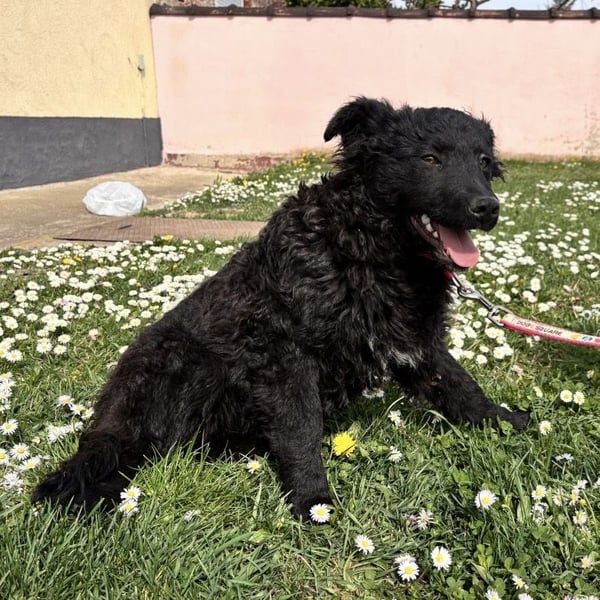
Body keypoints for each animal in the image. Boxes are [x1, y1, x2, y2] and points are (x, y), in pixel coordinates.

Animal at [33, 97, 530, 519]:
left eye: (484, 163)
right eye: (429, 159)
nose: (488, 208)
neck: (366, 246)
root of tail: (110, 418)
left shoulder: (416, 340)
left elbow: (460, 385)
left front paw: (504, 420)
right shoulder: (285, 356)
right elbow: (300, 428)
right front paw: (313, 500)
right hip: (187, 362)